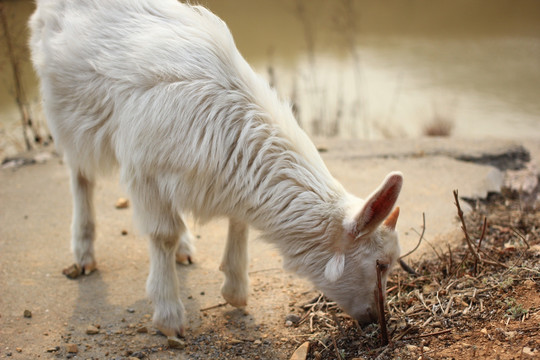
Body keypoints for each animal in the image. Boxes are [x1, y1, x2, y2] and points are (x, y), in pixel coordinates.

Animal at [28, 0, 400, 338]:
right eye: (380, 263)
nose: (375, 321)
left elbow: (237, 222)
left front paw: (235, 291)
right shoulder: (144, 171)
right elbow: (162, 234)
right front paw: (169, 317)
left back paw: (184, 249)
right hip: (65, 109)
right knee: (80, 175)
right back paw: (84, 251)